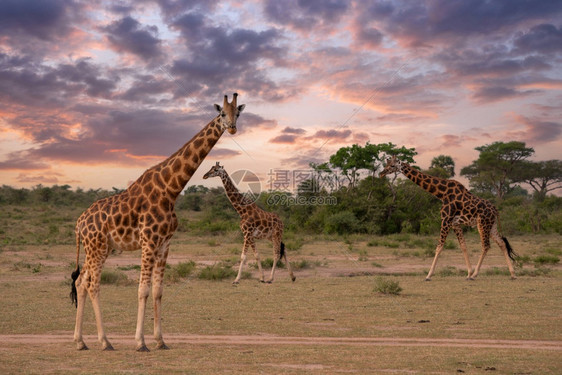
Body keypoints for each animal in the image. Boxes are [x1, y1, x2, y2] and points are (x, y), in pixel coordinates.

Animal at [69, 92, 244, 352]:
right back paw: (105, 341)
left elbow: (158, 290)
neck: (170, 190)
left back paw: (80, 341)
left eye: (238, 113)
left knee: (81, 282)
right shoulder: (149, 241)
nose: (232, 127)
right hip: (97, 247)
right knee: (92, 284)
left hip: (101, 248)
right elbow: (142, 290)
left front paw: (160, 340)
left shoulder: (164, 244)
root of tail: (79, 224)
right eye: (222, 113)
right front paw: (140, 342)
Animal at [376, 156, 516, 282]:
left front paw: (428, 275)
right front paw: (468, 273)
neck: (441, 193)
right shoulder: (455, 223)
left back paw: (476, 275)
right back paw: (512, 274)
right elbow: (463, 246)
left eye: (392, 166)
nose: (381, 174)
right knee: (501, 243)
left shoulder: (445, 220)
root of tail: (496, 210)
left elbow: (439, 246)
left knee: (486, 246)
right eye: (386, 164)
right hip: (491, 225)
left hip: (482, 224)